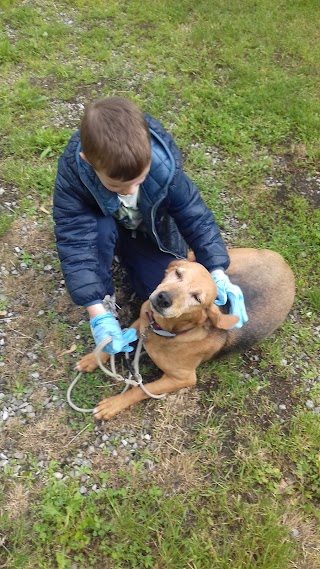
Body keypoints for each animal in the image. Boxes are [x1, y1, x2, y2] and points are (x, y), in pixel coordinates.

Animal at [77, 246, 296, 420]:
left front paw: (114, 404)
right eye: (178, 274)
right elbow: (119, 338)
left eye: (197, 298)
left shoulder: (182, 379)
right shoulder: (143, 319)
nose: (163, 298)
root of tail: (284, 263)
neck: (164, 330)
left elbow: (139, 390)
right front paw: (95, 357)